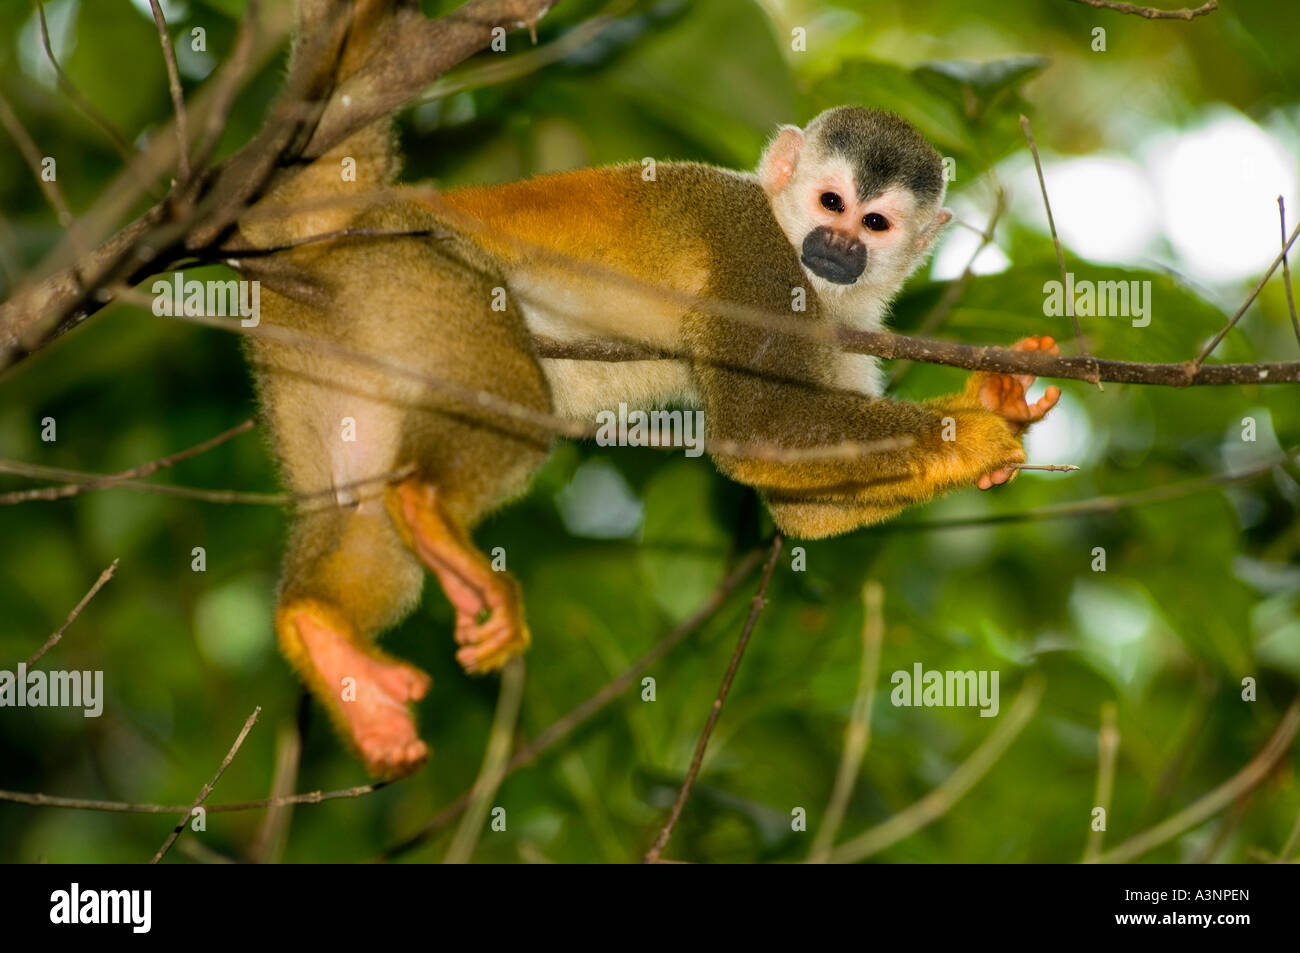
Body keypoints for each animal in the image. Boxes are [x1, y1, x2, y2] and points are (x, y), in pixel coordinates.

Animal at [239, 18, 1060, 774]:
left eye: (876, 222)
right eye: (831, 202)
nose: (839, 246)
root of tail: (330, 233)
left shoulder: (842, 326)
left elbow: (800, 506)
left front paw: (993, 401)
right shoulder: (755, 258)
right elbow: (759, 430)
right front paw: (975, 436)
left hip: (322, 346)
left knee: (358, 502)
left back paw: (322, 630)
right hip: (418, 273)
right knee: (502, 397)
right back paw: (430, 512)